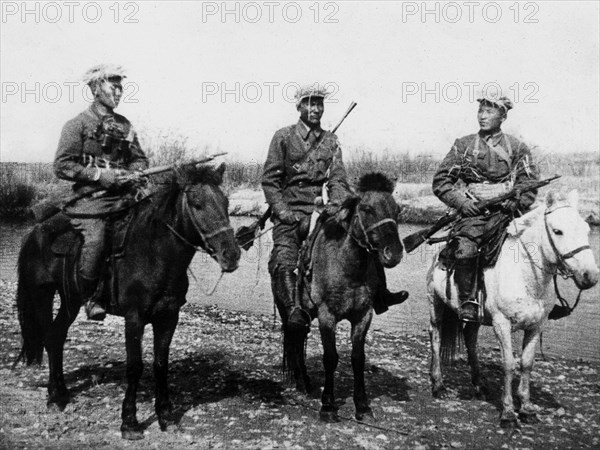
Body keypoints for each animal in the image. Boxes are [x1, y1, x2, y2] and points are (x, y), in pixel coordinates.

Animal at [14, 163, 239, 440]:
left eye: (226, 202)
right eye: (197, 204)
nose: (232, 254)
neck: (155, 254)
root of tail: (35, 232)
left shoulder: (168, 318)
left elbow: (160, 365)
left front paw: (166, 416)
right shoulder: (134, 318)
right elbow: (135, 367)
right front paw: (129, 422)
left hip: (70, 301)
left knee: (56, 337)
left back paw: (61, 394)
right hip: (41, 295)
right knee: (48, 337)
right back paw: (54, 397)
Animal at [286, 171, 404, 422]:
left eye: (397, 210)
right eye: (367, 208)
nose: (394, 253)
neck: (348, 267)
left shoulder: (363, 316)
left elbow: (358, 359)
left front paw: (363, 406)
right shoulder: (327, 316)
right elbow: (330, 358)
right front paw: (328, 406)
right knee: (297, 338)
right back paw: (303, 382)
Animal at [428, 191, 596, 428]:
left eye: (586, 229)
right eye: (558, 231)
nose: (590, 275)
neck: (526, 274)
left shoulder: (537, 326)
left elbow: (526, 364)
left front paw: (526, 408)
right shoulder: (502, 324)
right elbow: (508, 364)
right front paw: (508, 412)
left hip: (475, 316)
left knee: (470, 339)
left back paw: (479, 384)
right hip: (435, 303)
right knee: (435, 336)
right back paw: (438, 385)